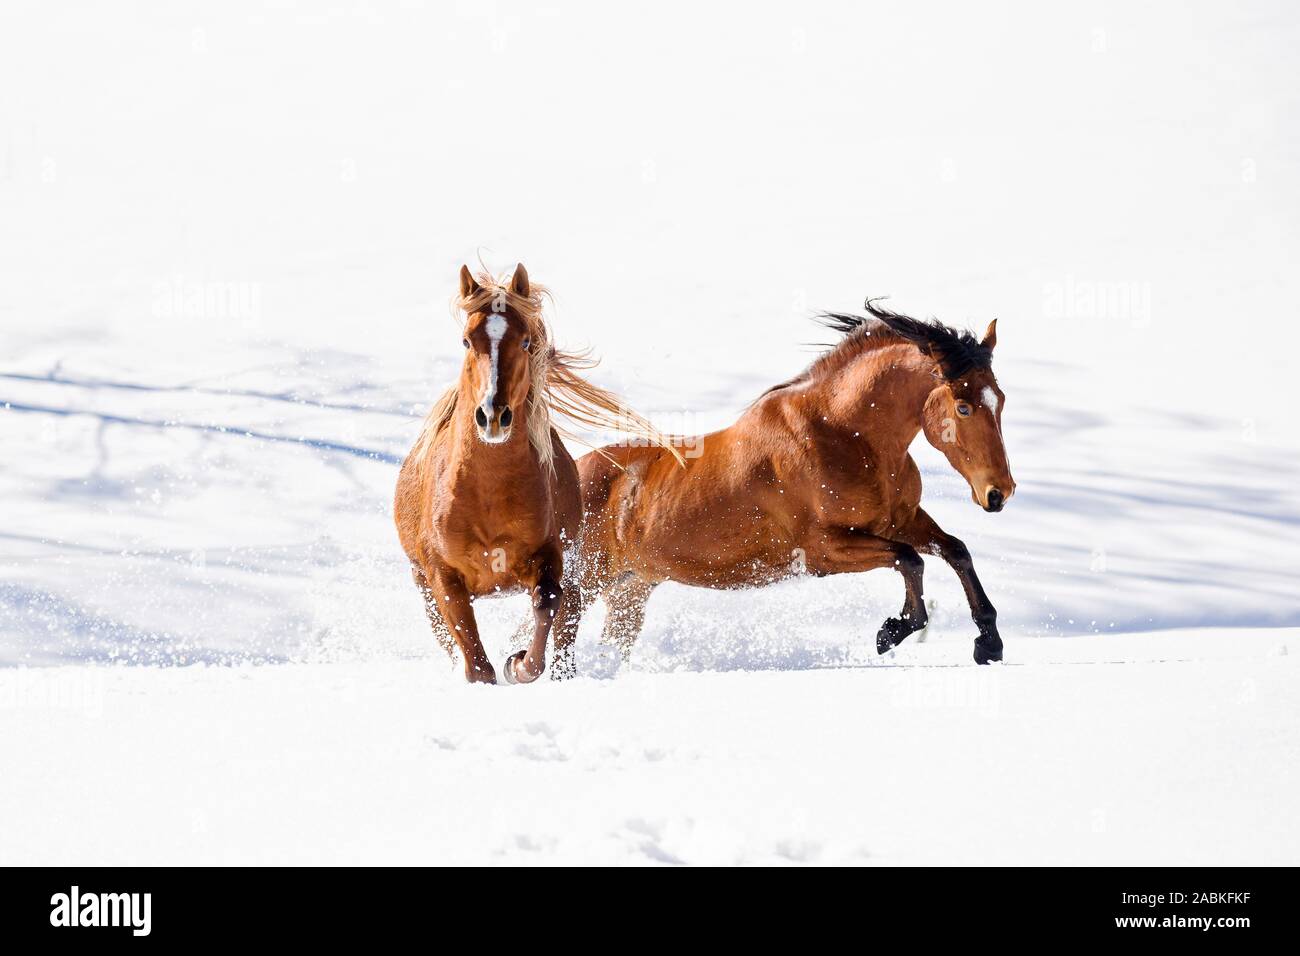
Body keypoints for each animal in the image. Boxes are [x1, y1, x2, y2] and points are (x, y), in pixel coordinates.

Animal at [392, 261, 681, 681]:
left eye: (526, 341)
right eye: (466, 341)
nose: (492, 415)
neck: (487, 496)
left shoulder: (550, 558)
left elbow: (547, 603)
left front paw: (518, 664)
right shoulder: (443, 577)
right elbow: (475, 661)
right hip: (423, 581)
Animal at [569, 299, 1013, 665]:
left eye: (1001, 399)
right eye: (963, 407)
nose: (999, 493)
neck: (844, 436)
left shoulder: (898, 521)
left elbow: (956, 551)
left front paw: (988, 643)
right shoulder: (821, 551)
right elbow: (910, 559)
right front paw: (891, 631)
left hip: (630, 590)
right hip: (583, 584)